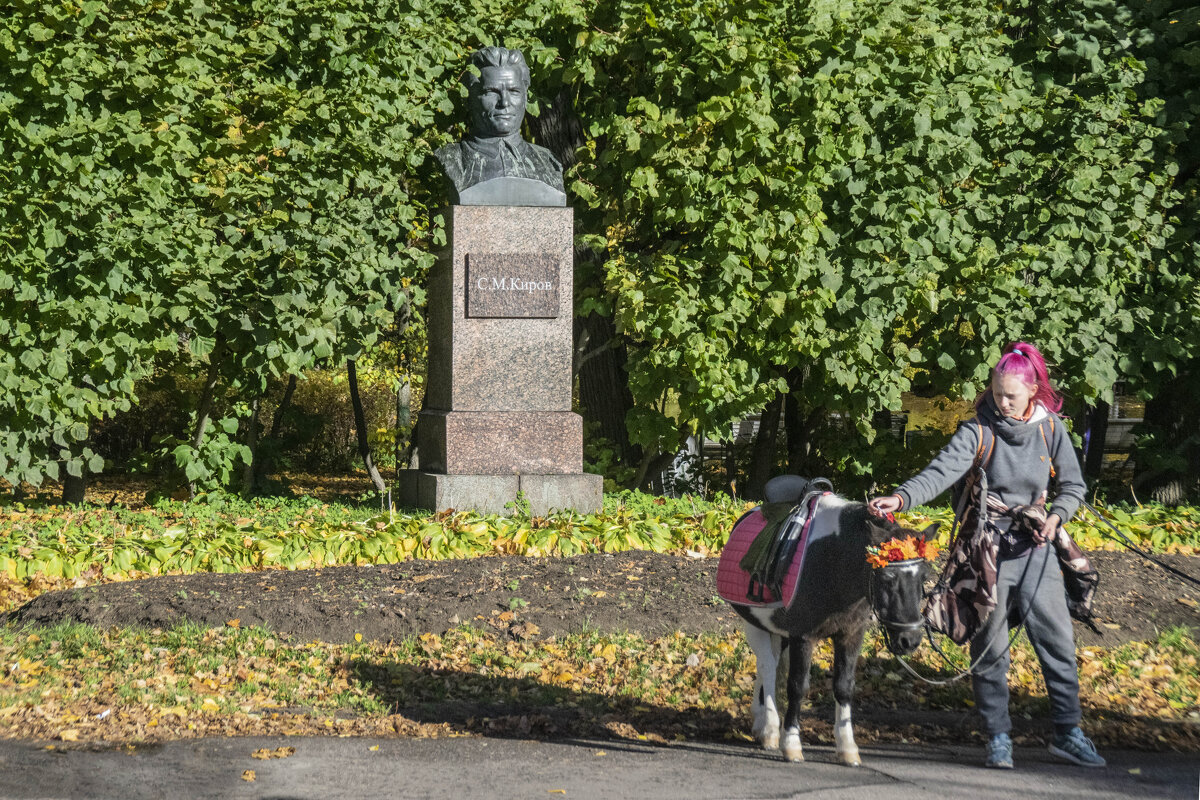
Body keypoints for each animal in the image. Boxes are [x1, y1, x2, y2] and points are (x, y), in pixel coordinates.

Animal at [724, 479, 931, 767]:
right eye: (888, 577)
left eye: (923, 577)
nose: (909, 640)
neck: (832, 562)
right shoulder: (803, 637)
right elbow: (797, 686)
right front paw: (791, 744)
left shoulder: (851, 634)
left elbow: (844, 687)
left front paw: (847, 747)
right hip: (755, 624)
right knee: (767, 667)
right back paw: (770, 729)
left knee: (772, 666)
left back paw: (761, 721)